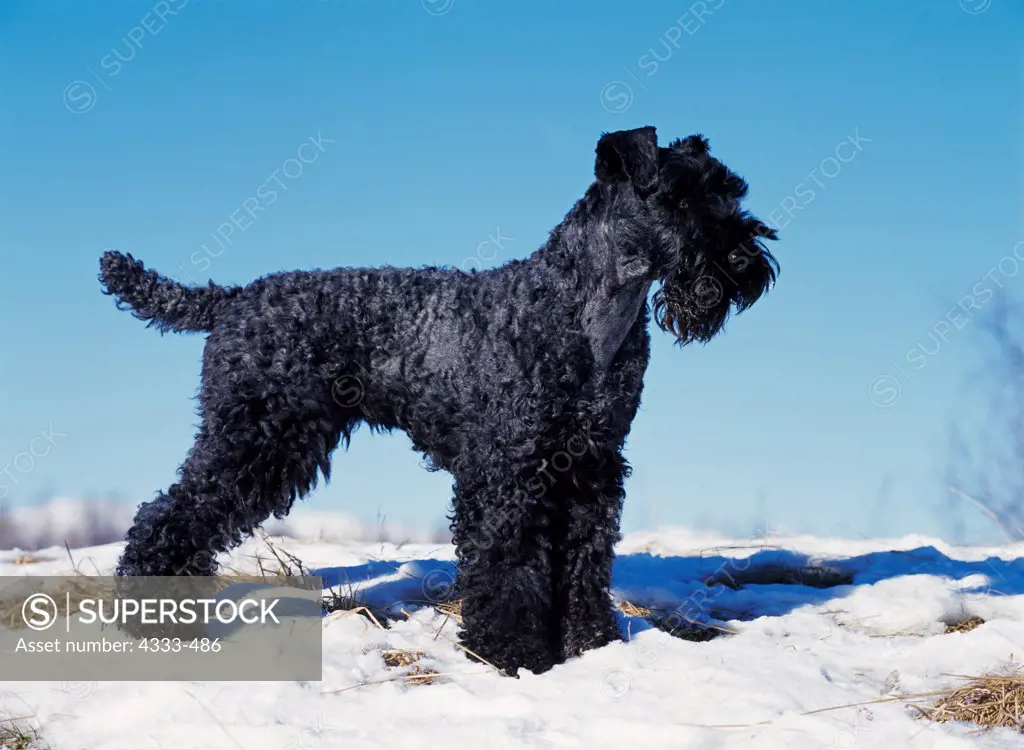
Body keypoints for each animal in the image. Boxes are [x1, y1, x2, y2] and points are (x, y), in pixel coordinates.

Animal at [99, 126, 778, 676]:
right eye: (677, 198)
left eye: (730, 191)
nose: (745, 259)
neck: (586, 313)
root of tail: (234, 298)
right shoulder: (508, 472)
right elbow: (510, 568)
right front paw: (510, 654)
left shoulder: (590, 468)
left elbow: (584, 563)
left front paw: (588, 644)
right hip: (254, 439)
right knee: (169, 512)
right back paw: (153, 613)